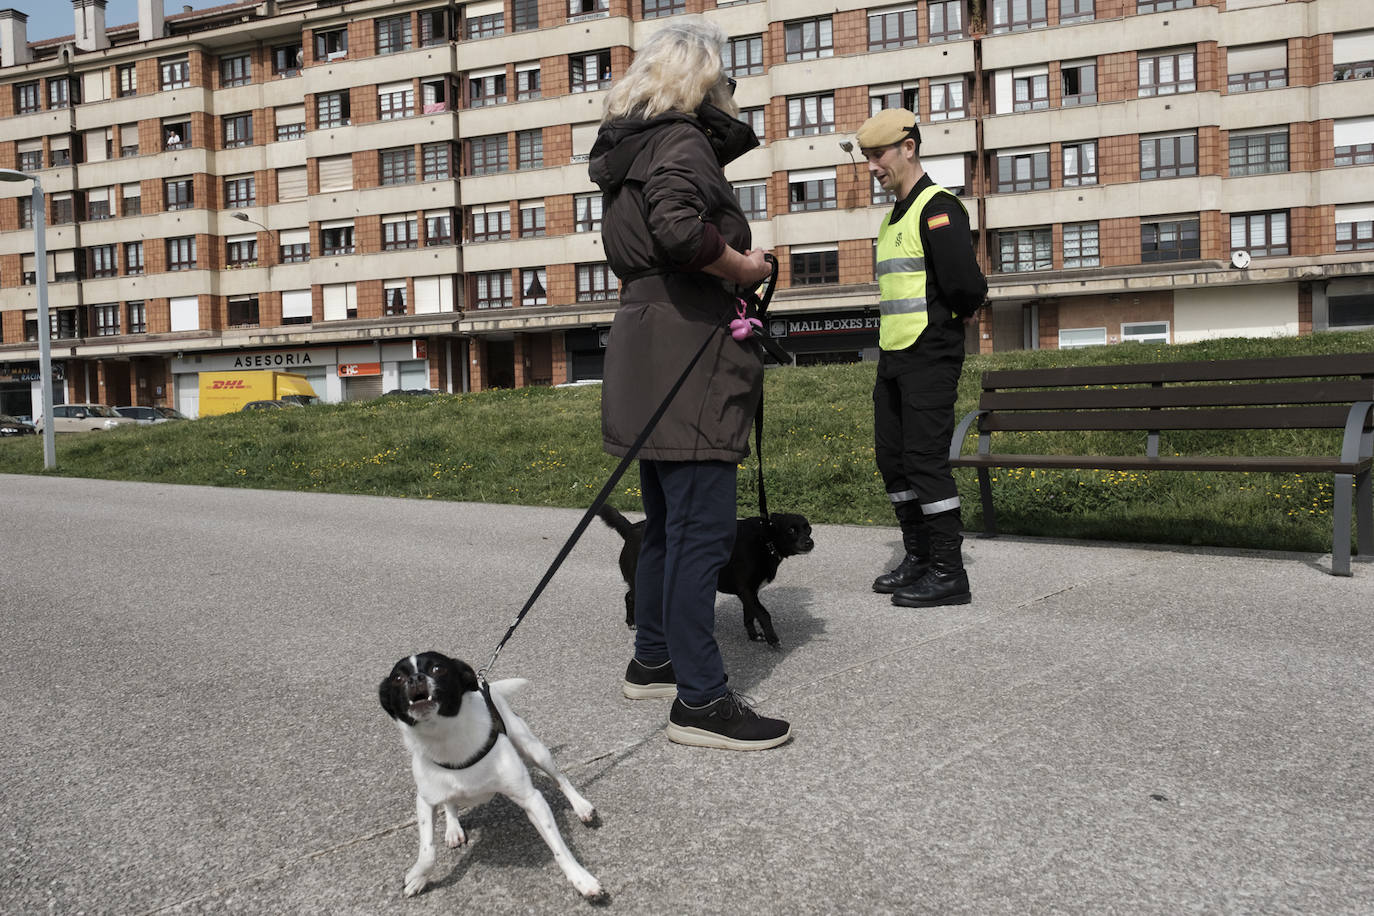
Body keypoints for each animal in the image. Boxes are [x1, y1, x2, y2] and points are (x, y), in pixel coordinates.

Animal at [381, 650, 607, 900]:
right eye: (398, 678)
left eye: (437, 669)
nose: (415, 679)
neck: (445, 739)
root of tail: (484, 683)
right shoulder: (425, 801)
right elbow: (427, 851)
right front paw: (419, 877)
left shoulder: (532, 799)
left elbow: (560, 849)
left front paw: (581, 879)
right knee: (450, 804)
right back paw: (453, 827)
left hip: (534, 749)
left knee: (560, 779)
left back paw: (581, 805)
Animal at [596, 505, 807, 648]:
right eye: (791, 530)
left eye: (808, 529)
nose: (810, 542)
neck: (765, 539)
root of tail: (631, 529)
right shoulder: (746, 590)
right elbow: (763, 614)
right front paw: (773, 639)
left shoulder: (749, 593)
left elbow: (749, 615)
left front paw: (755, 636)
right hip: (642, 580)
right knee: (629, 596)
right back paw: (632, 622)